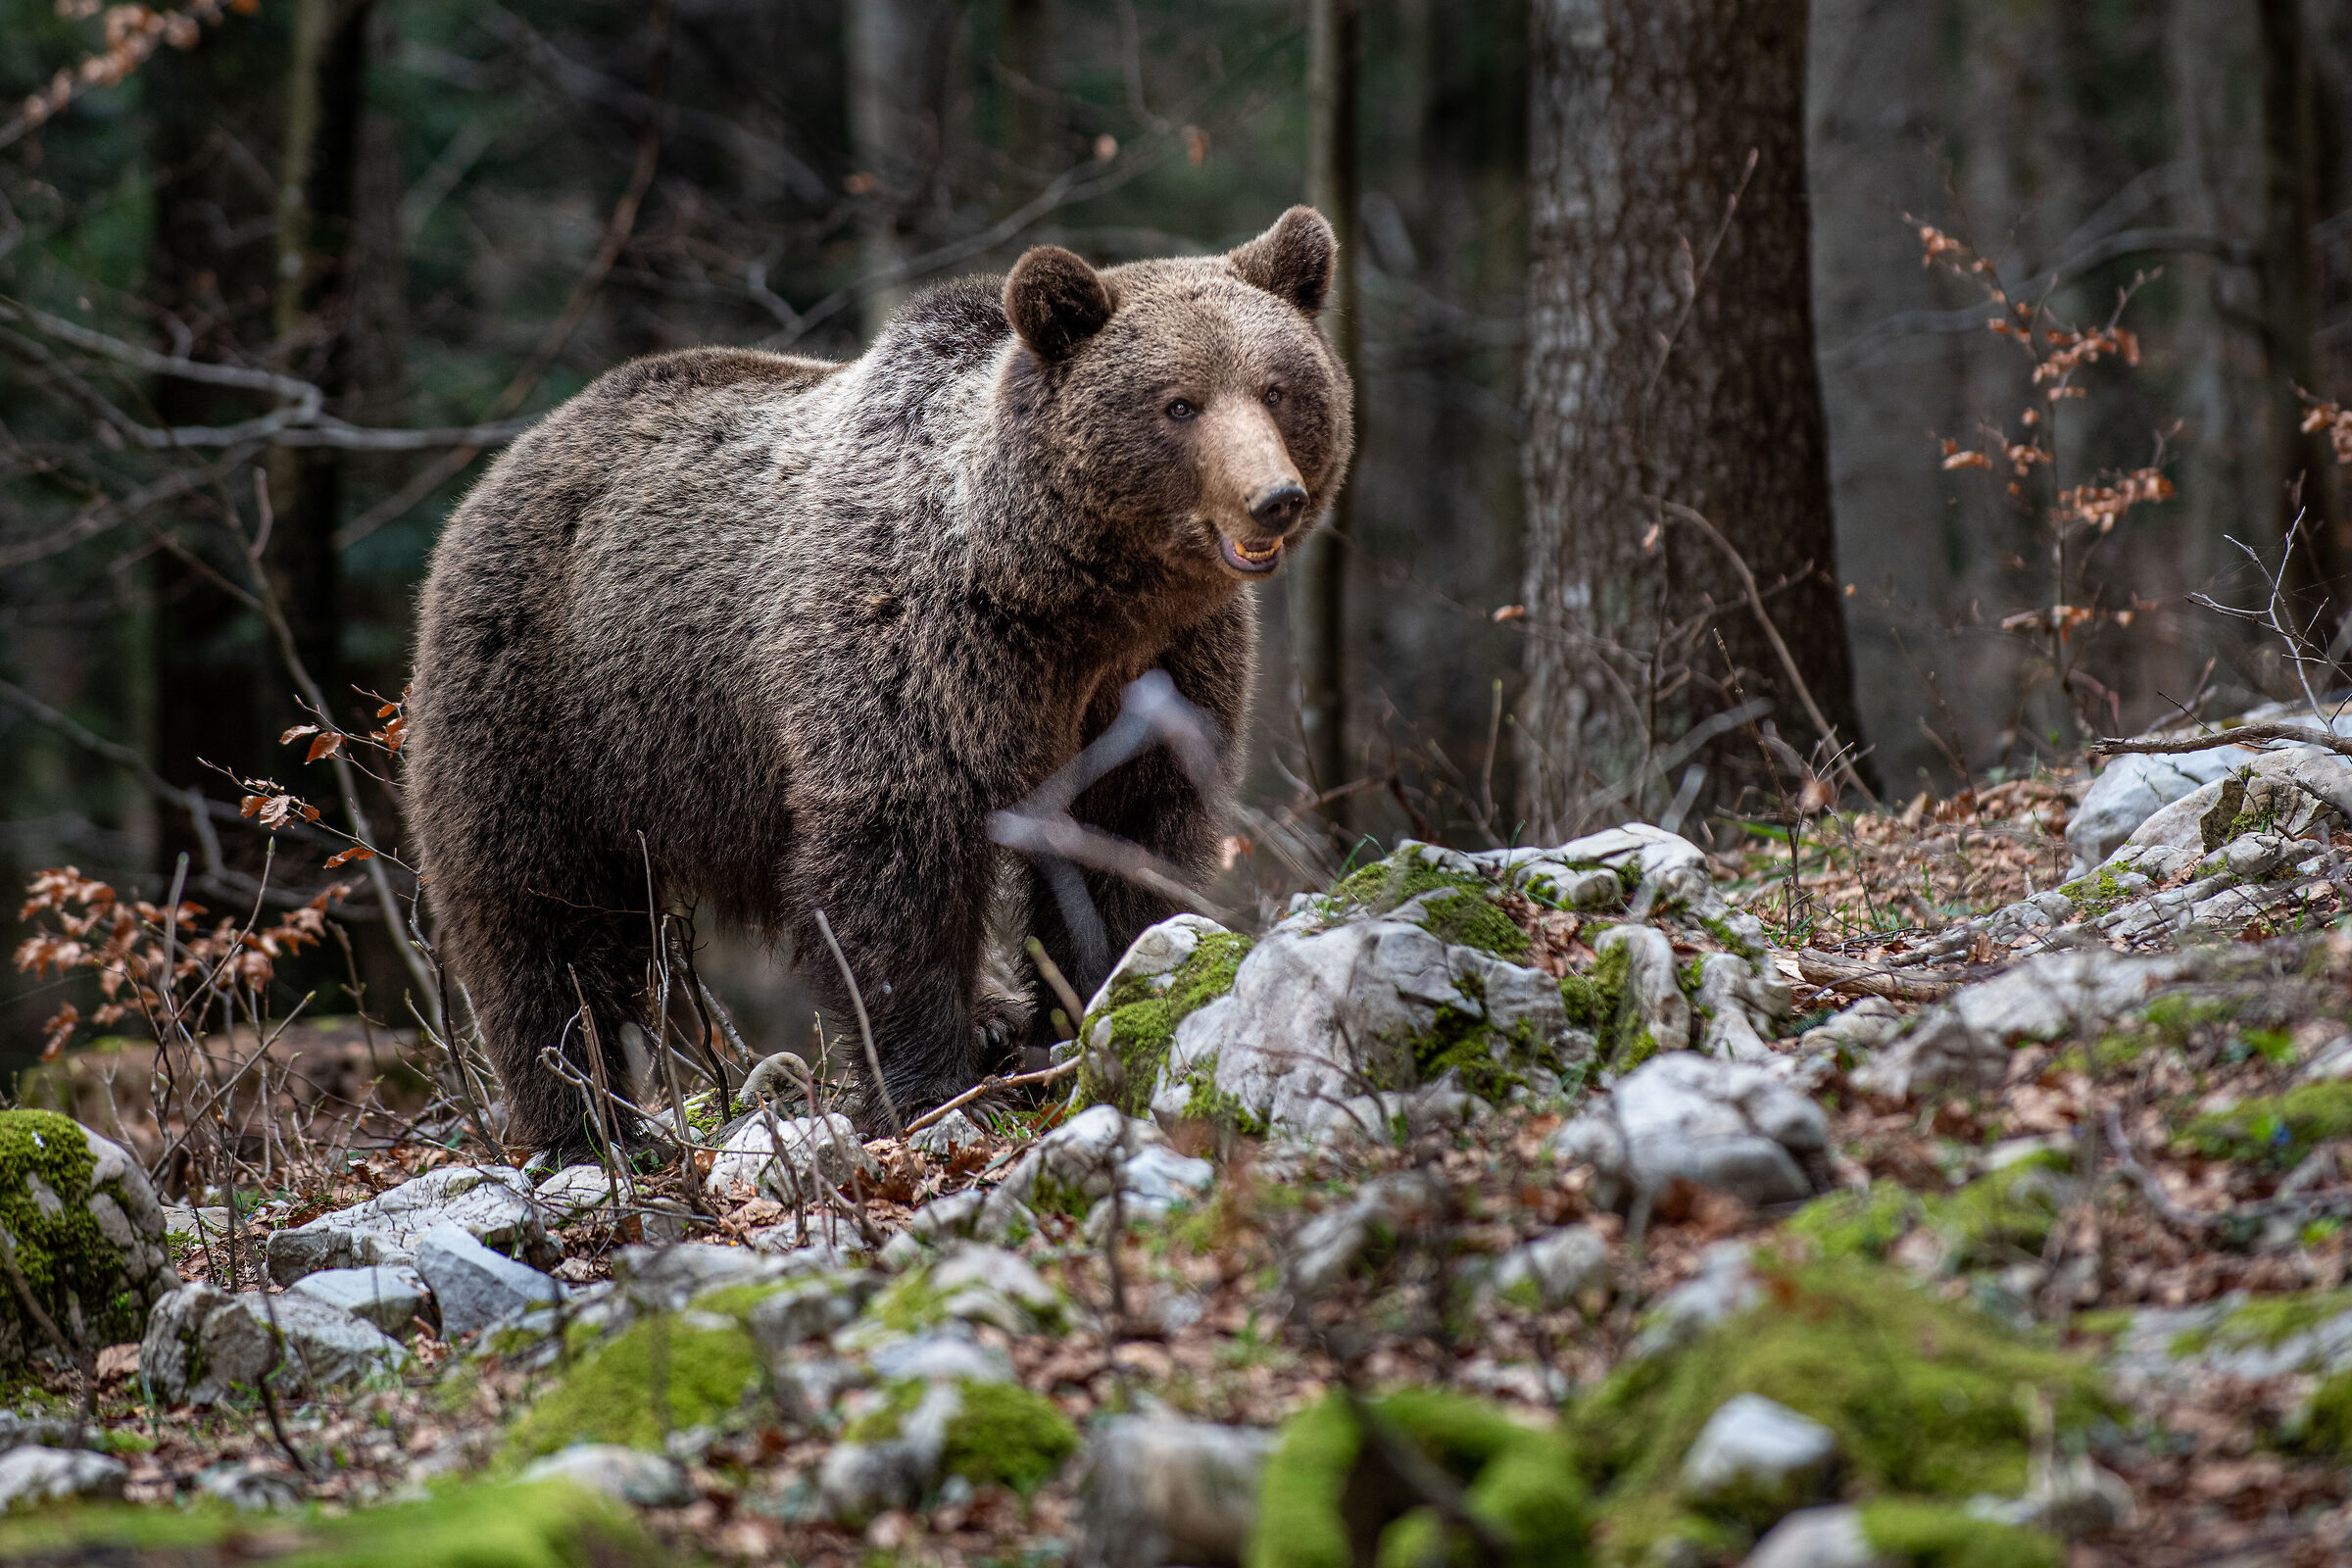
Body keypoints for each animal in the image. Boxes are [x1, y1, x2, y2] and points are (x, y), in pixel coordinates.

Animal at [405, 207, 1355, 1153]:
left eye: (1277, 388)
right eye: (1179, 403)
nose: (1273, 496)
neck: (1062, 594)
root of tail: (512, 455)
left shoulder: (1164, 666)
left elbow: (1130, 836)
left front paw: (1097, 1008)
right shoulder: (912, 648)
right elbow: (900, 861)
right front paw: (932, 1088)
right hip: (549, 699)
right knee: (538, 909)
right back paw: (583, 1116)